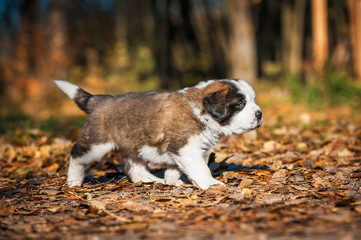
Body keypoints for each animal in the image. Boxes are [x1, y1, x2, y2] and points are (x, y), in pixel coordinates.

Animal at [53, 79, 262, 189]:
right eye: (240, 104)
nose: (259, 114)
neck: (202, 112)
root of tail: (100, 100)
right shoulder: (186, 148)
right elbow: (202, 169)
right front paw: (211, 184)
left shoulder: (181, 151)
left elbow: (176, 167)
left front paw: (173, 180)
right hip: (96, 143)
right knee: (77, 155)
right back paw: (74, 181)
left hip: (134, 142)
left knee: (133, 165)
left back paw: (148, 179)